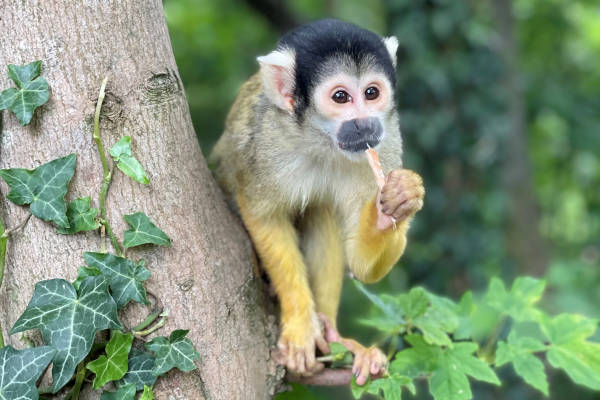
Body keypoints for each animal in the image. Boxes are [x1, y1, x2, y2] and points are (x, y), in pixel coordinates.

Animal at [210, 18, 422, 384]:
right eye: (341, 97)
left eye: (371, 93)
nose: (364, 124)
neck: (321, 138)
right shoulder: (265, 140)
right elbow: (263, 214)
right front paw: (300, 327)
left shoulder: (387, 139)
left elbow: (363, 267)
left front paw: (397, 203)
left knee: (322, 210)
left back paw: (333, 334)